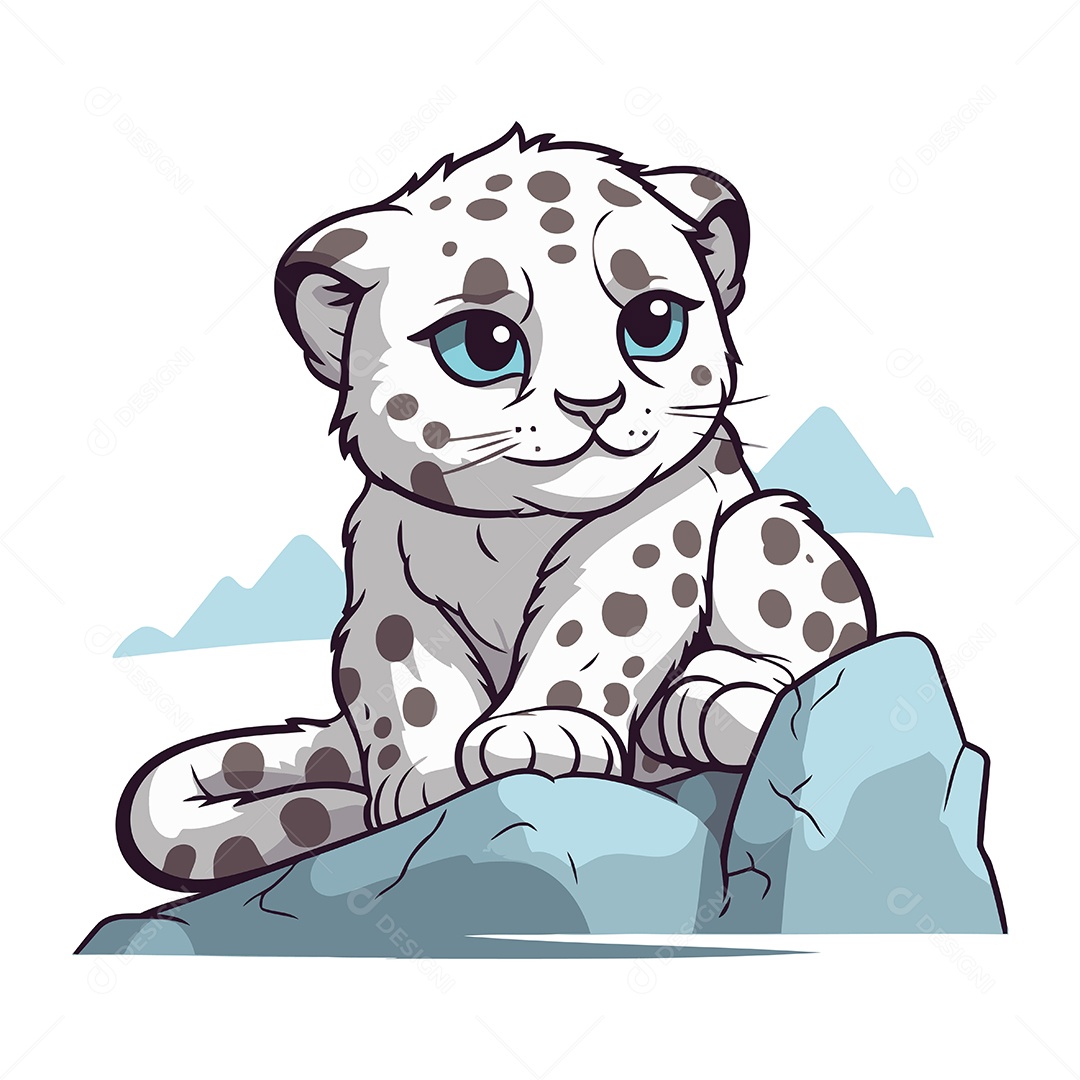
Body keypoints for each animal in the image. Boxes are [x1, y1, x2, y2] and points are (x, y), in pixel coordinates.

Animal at [117, 125, 875, 889]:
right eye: (483, 344)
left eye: (654, 320)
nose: (595, 402)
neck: (511, 532)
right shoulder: (390, 588)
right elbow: (408, 682)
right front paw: (424, 782)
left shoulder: (651, 530)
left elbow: (594, 624)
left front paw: (538, 731)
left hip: (766, 528)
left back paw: (716, 699)